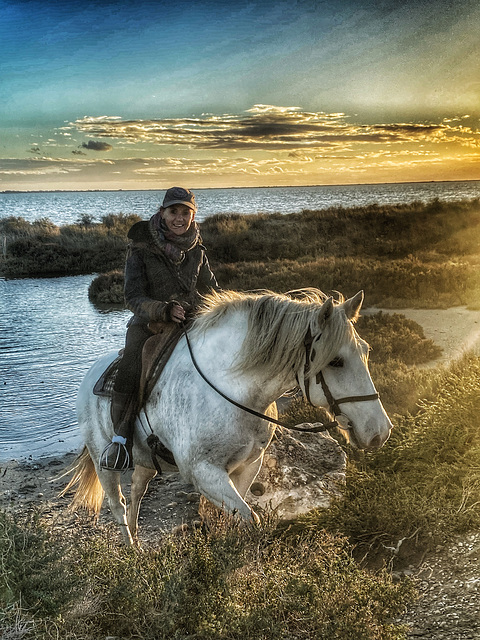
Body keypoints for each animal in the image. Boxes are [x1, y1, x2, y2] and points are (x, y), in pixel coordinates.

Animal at [63, 290, 392, 544]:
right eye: (336, 361)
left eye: (366, 350)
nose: (380, 431)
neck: (232, 390)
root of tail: (92, 373)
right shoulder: (204, 473)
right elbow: (250, 519)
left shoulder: (248, 466)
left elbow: (237, 516)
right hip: (103, 461)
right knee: (117, 504)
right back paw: (131, 553)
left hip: (145, 461)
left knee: (137, 494)